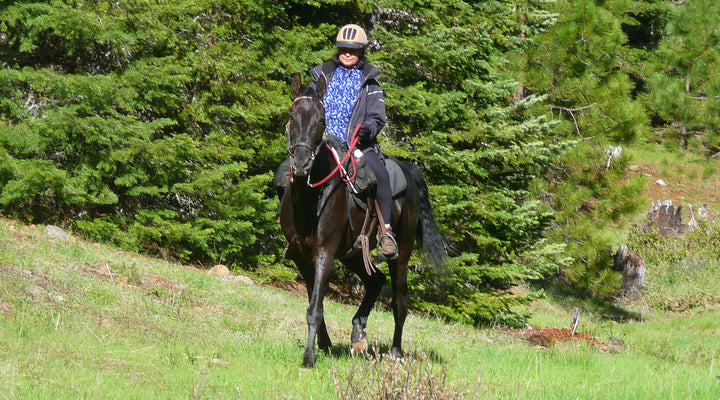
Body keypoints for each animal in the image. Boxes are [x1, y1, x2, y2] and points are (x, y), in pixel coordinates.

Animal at [278, 73, 447, 368]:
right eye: (292, 116)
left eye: (321, 120)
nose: (300, 164)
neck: (311, 198)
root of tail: (407, 170)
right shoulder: (301, 255)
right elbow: (315, 303)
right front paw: (324, 345)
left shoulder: (325, 254)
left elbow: (315, 308)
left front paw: (309, 357)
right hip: (353, 254)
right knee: (375, 281)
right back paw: (358, 329)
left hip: (401, 254)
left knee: (400, 302)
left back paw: (395, 352)